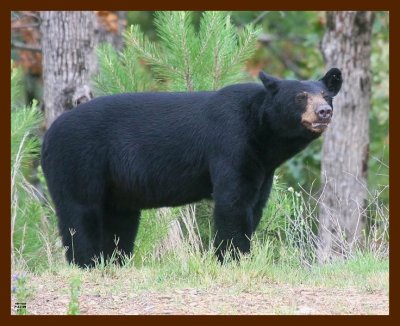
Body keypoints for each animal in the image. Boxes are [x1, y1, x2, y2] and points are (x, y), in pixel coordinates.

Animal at [40, 68, 342, 268]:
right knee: (80, 211)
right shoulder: (231, 142)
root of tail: (48, 133)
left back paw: (114, 261)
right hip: (78, 159)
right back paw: (86, 262)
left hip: (117, 185)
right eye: (301, 97)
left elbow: (255, 204)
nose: (324, 111)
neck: (263, 133)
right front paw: (231, 258)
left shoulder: (262, 165)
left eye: (326, 94)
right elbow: (233, 201)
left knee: (119, 220)